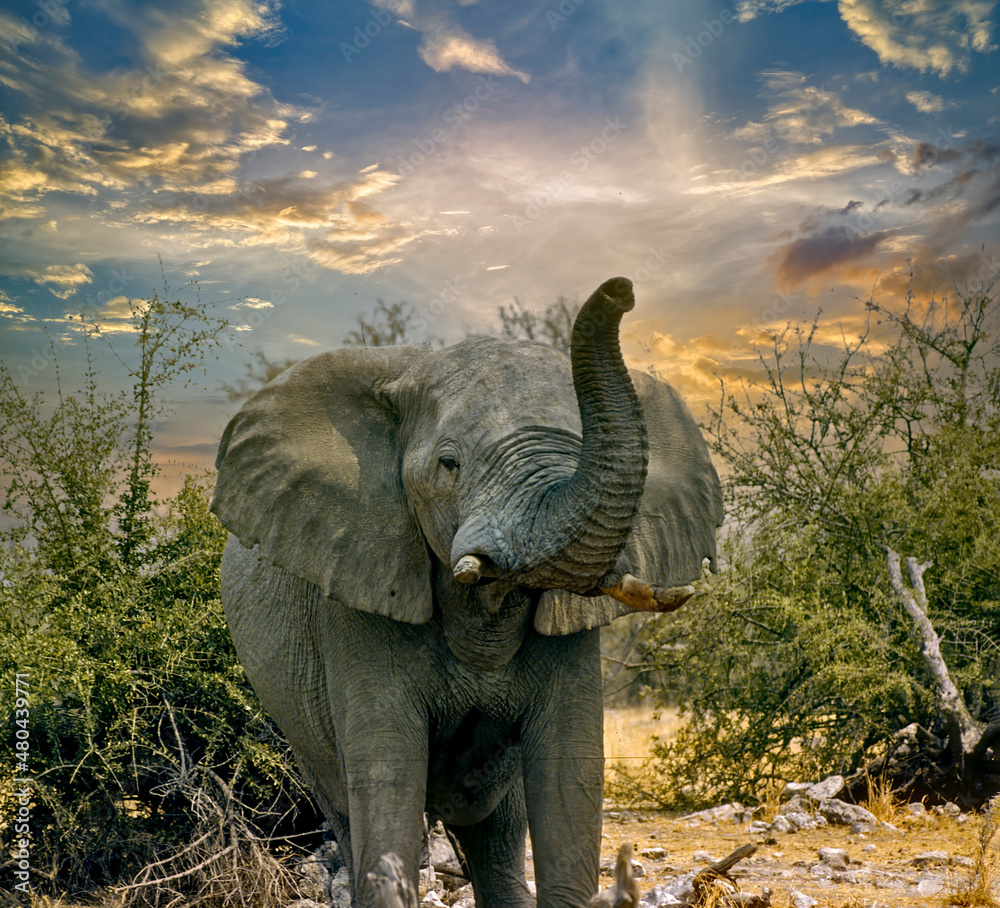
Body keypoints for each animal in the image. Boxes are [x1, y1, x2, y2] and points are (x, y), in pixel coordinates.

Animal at [211, 277, 723, 908]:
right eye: (448, 464)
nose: (621, 290)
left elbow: (570, 774)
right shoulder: (357, 593)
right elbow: (387, 773)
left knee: (497, 836)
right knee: (353, 815)